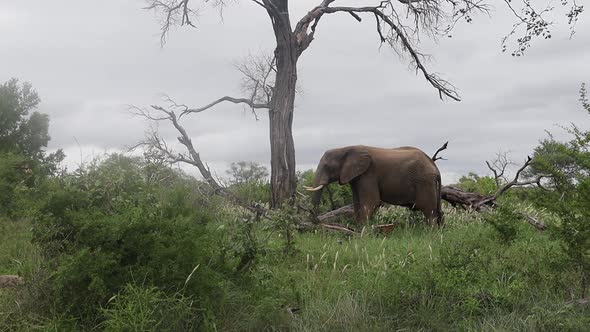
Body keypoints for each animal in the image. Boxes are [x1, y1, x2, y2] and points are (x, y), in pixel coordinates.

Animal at [306, 145, 444, 226]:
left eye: (327, 166)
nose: (317, 221)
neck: (346, 148)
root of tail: (435, 166)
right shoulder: (357, 177)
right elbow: (357, 204)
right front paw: (358, 231)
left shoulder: (368, 174)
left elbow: (371, 202)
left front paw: (363, 235)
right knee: (437, 212)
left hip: (424, 181)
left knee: (429, 211)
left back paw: (431, 234)